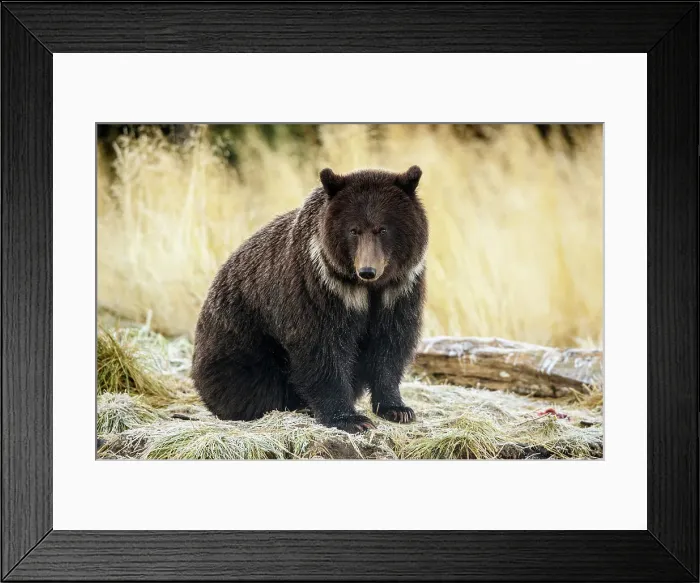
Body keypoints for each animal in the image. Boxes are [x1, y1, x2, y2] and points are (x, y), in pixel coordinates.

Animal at [191, 165, 428, 433]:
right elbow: (322, 349)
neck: (365, 290)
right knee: (251, 383)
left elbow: (390, 345)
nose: (367, 270)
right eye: (353, 230)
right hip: (240, 342)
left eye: (383, 229)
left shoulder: (399, 292)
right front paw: (350, 419)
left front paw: (398, 409)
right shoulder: (318, 289)